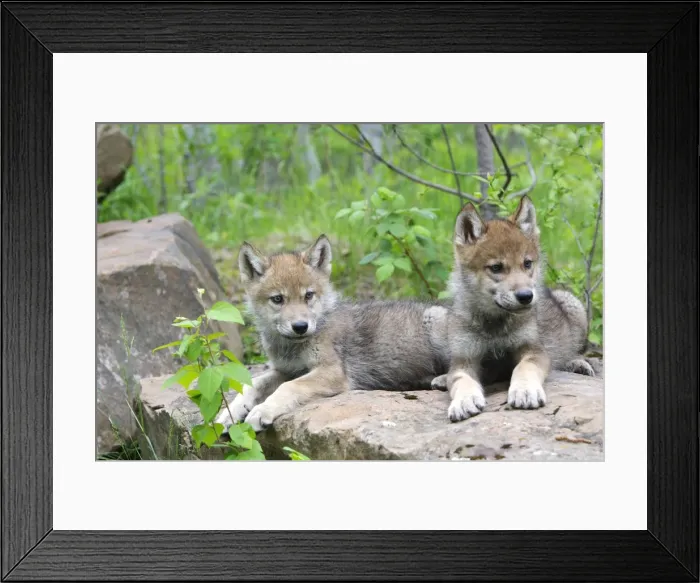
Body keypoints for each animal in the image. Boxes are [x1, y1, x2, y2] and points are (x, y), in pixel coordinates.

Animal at [216, 235, 450, 432]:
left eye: (308, 295)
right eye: (278, 299)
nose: (300, 326)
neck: (293, 346)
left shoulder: (331, 372)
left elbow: (287, 388)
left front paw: (261, 411)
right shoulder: (285, 370)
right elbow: (252, 384)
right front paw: (229, 413)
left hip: (435, 320)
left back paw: (442, 380)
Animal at [433, 195, 594, 422]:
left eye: (527, 263)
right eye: (496, 268)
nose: (526, 296)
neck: (495, 325)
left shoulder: (532, 349)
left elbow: (523, 368)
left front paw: (525, 391)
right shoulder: (466, 359)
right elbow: (460, 380)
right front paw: (464, 400)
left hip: (574, 307)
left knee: (575, 350)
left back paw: (576, 363)